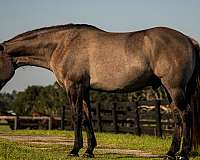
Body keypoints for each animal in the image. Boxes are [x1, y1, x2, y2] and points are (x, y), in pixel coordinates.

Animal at [0, 24, 199, 160]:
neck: (63, 44)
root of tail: (189, 40)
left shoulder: (74, 87)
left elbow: (77, 116)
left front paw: (74, 150)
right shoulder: (84, 89)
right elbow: (87, 117)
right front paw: (89, 151)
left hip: (174, 87)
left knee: (186, 114)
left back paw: (183, 154)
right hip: (169, 89)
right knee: (177, 116)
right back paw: (171, 153)